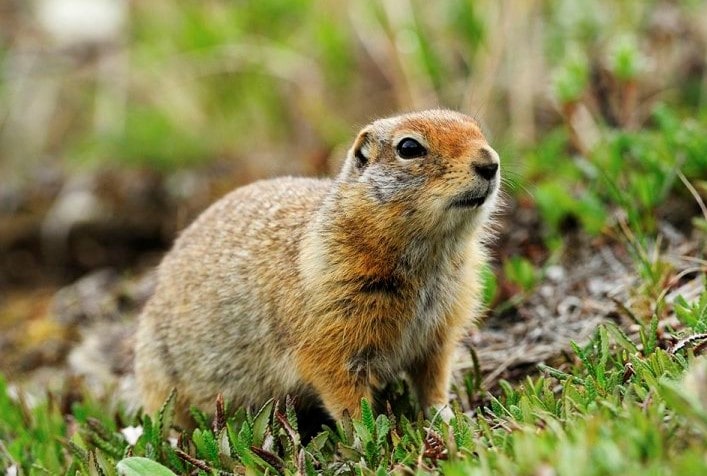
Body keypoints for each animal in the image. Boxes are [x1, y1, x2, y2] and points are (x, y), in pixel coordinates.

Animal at [136, 109, 500, 424]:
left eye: (476, 128)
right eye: (408, 147)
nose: (491, 163)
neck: (430, 258)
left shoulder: (439, 334)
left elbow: (433, 381)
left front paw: (448, 418)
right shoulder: (331, 336)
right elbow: (345, 395)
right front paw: (368, 438)